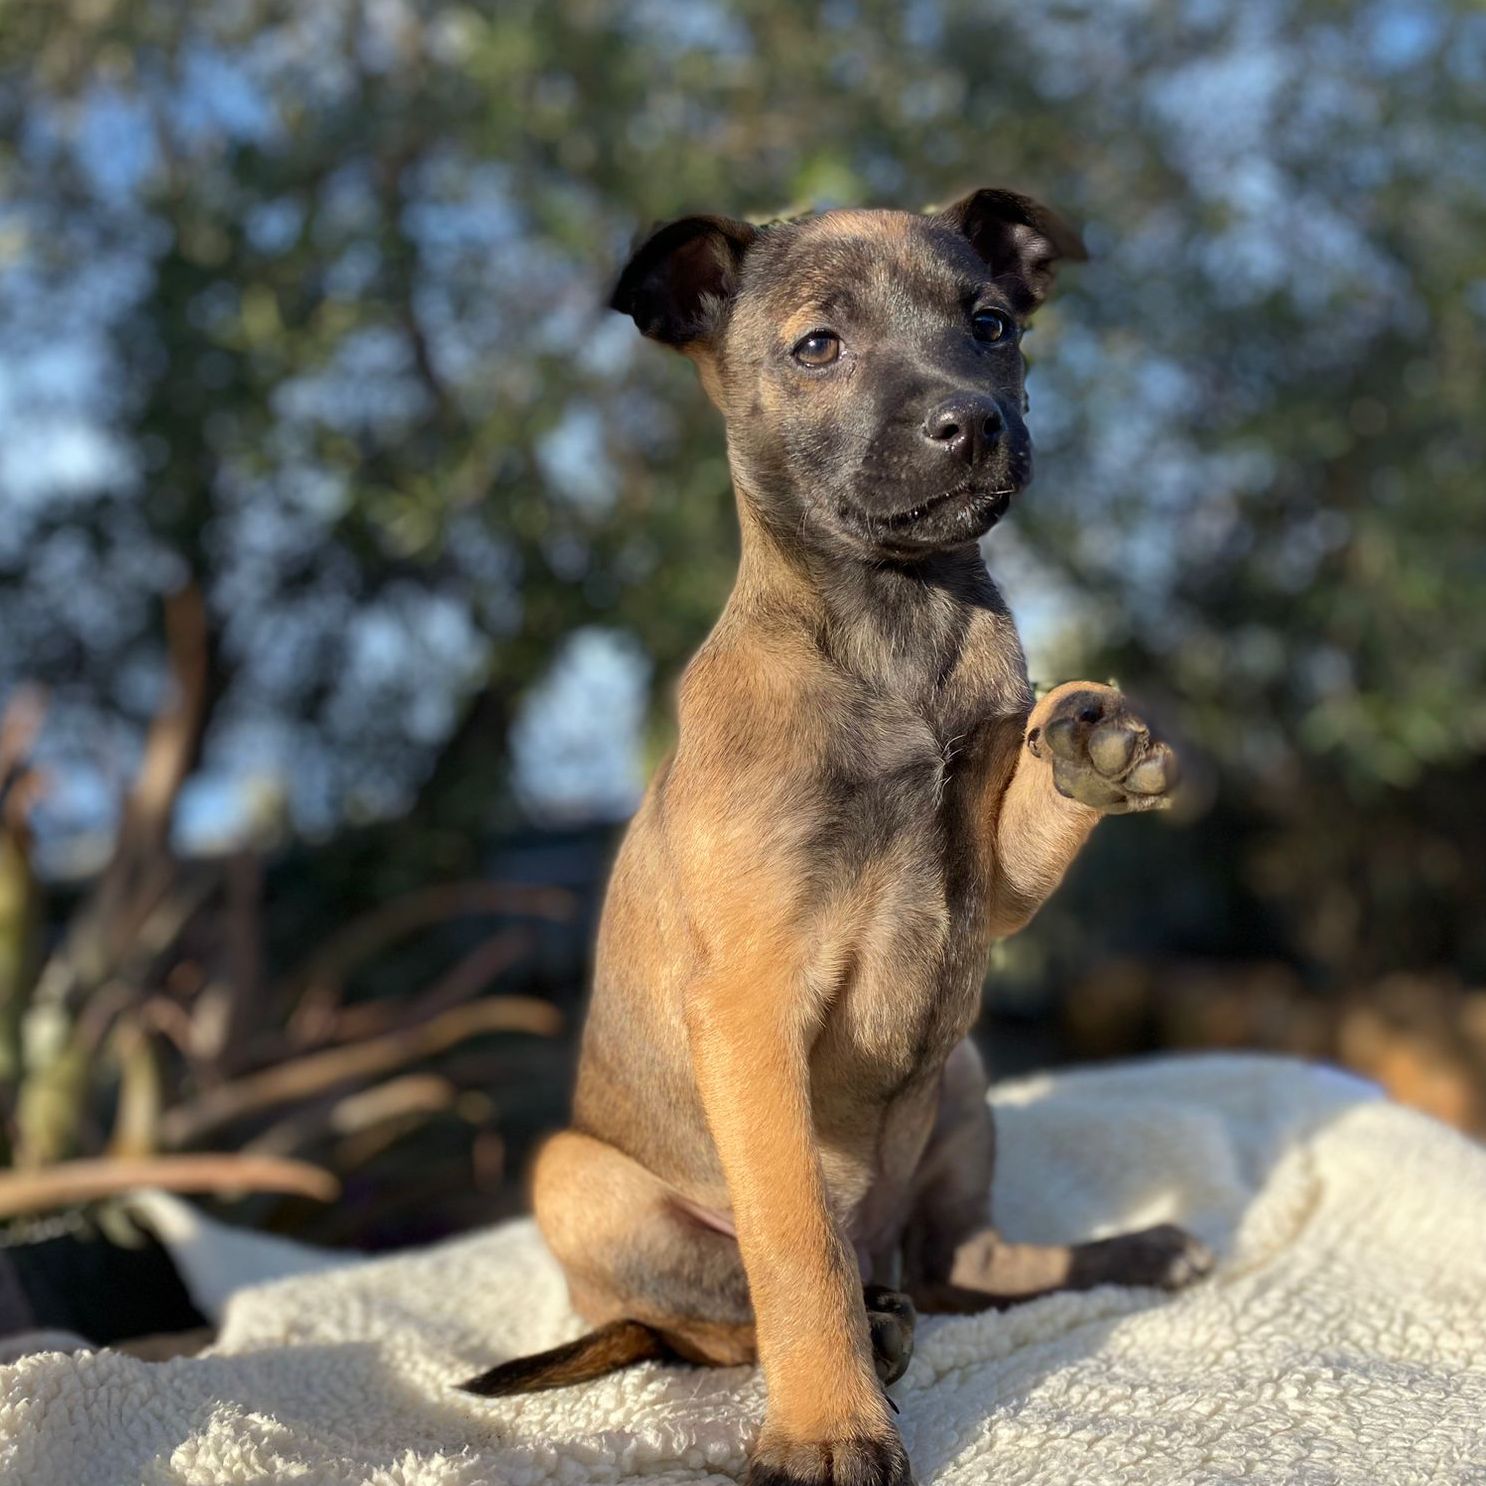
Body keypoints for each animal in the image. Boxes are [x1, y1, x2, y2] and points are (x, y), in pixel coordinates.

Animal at [460, 189, 1212, 1485]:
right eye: (818, 346)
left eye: (991, 323)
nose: (973, 422)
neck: (894, 625)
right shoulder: (751, 1009)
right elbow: (794, 1248)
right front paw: (826, 1428)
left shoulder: (986, 888)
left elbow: (1027, 812)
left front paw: (1092, 747)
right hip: (580, 1177)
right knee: (702, 1318)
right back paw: (868, 1329)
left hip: (960, 1078)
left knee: (964, 1269)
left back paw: (1124, 1256)